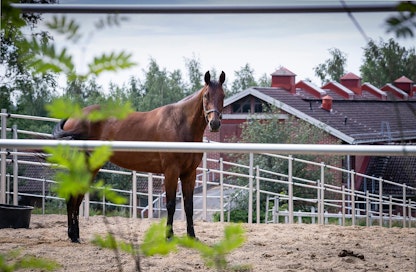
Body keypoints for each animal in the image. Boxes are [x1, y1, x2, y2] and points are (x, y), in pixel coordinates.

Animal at [53, 70, 226, 242]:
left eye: (223, 95)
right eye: (206, 96)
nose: (214, 124)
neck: (180, 124)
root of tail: (73, 118)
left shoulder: (189, 173)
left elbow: (188, 206)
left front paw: (192, 236)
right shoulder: (171, 171)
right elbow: (170, 204)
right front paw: (169, 236)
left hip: (91, 167)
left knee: (77, 196)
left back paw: (75, 235)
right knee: (73, 197)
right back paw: (73, 235)